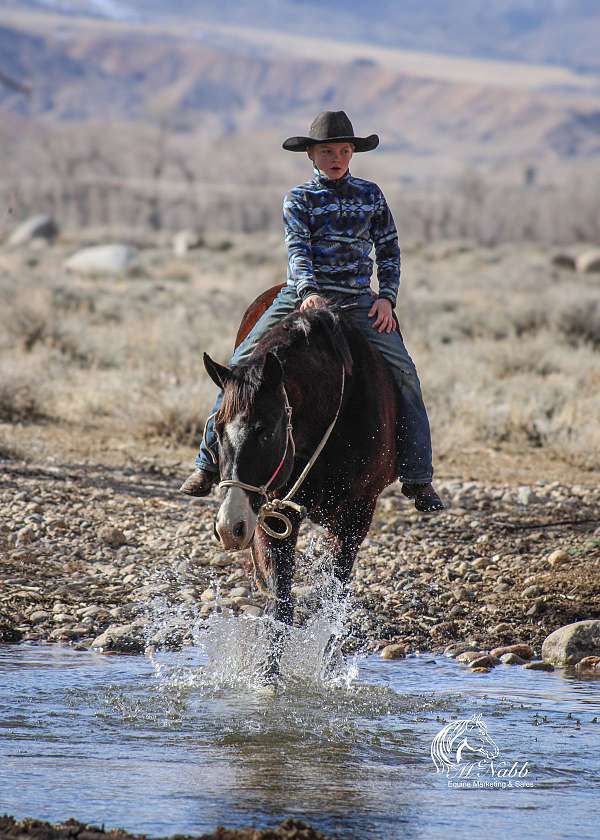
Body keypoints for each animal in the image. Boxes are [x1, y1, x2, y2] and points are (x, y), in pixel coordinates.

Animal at [204, 306, 400, 680]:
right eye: (217, 431)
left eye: (265, 431)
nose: (229, 527)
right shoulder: (273, 514)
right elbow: (282, 599)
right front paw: (268, 675)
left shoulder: (356, 515)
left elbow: (334, 598)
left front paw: (326, 667)